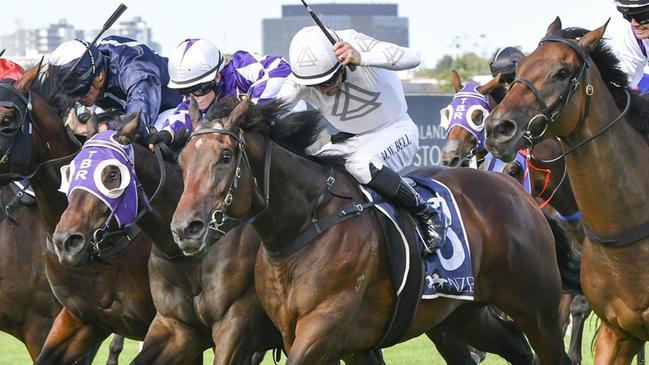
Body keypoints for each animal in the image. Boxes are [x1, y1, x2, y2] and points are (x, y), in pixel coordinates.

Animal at [172, 96, 576, 362]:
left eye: (226, 156)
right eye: (182, 159)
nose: (185, 228)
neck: (305, 226)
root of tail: (514, 189)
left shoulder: (322, 327)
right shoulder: (333, 340)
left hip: (537, 309)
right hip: (460, 315)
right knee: (514, 345)